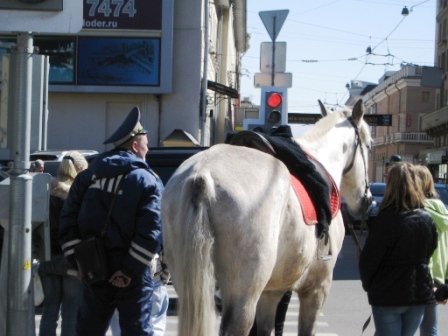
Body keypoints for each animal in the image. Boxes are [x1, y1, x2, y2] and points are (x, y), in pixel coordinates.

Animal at [161, 100, 372, 336]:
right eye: (369, 145)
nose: (367, 201)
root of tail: (202, 175)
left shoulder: (272, 292)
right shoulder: (317, 288)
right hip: (243, 295)